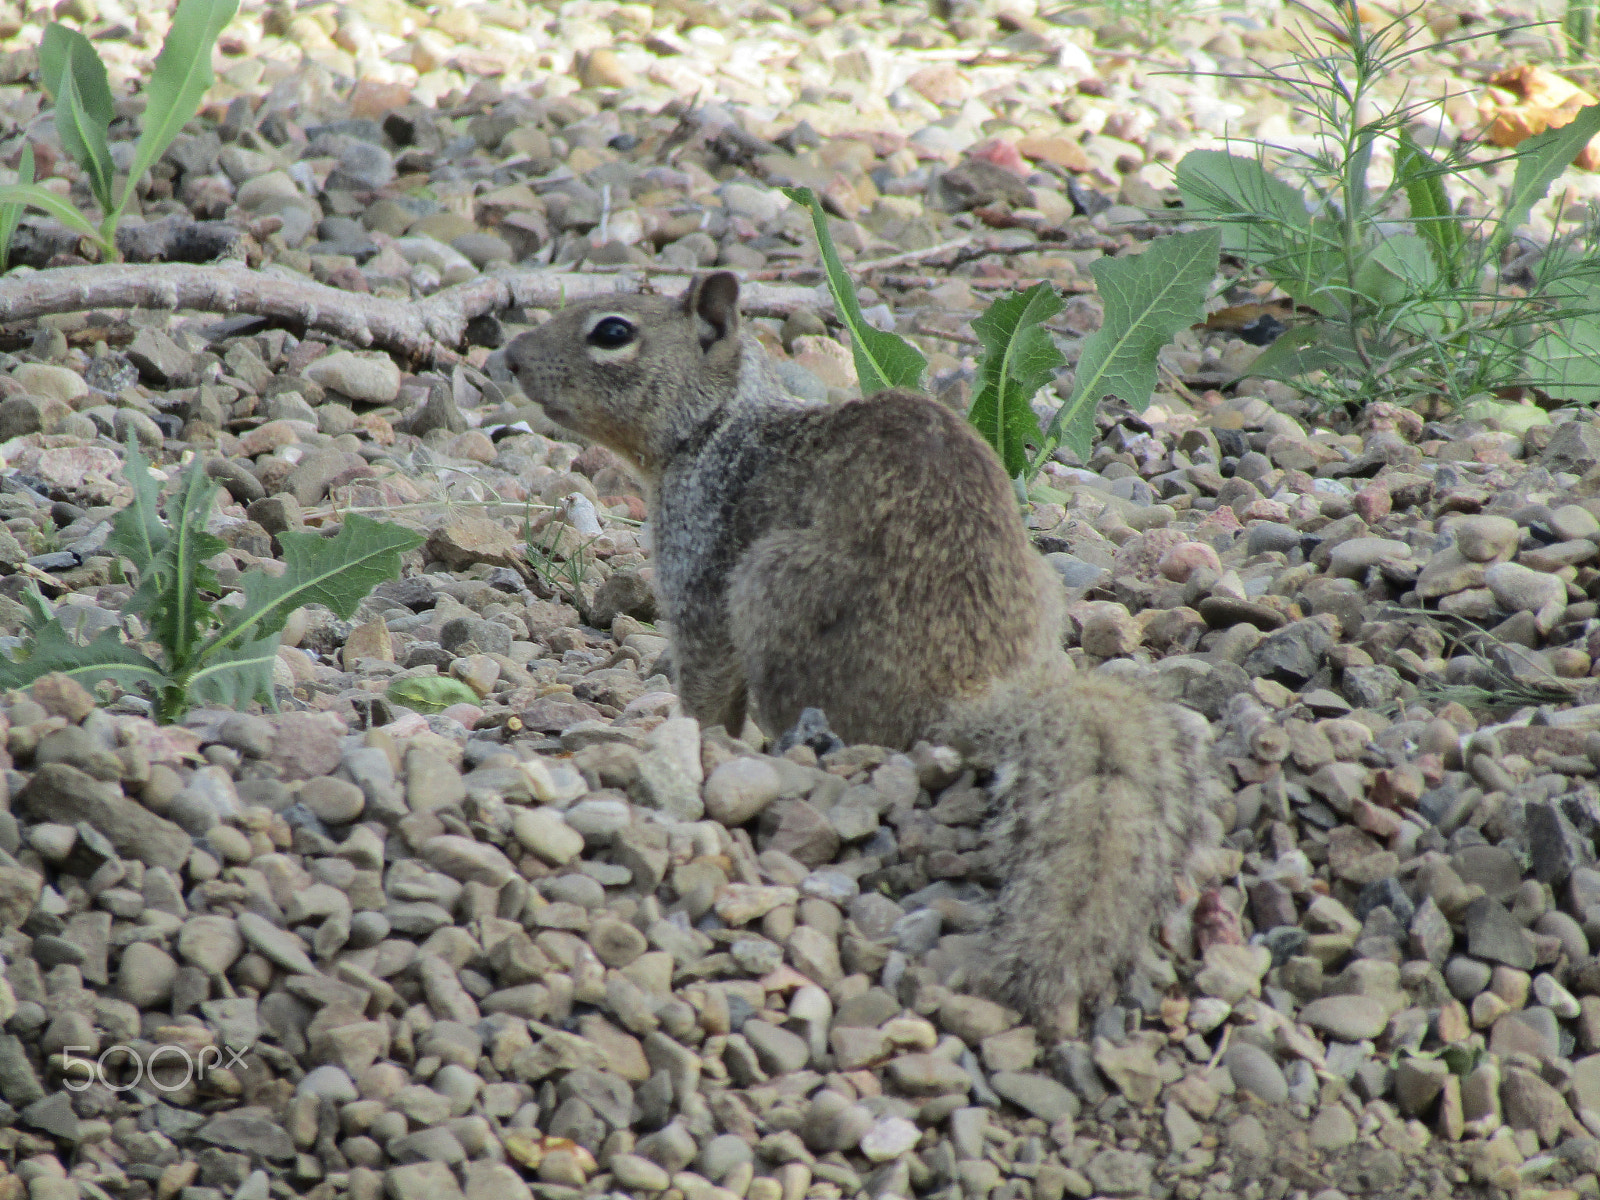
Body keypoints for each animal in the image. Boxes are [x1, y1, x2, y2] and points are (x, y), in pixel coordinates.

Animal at [505, 275, 1216, 1043]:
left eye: (612, 332)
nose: (508, 357)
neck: (717, 426)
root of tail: (967, 694)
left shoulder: (701, 565)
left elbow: (706, 689)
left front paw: (688, 745)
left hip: (771, 588)